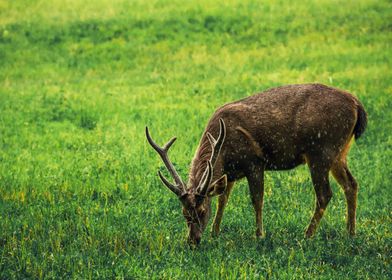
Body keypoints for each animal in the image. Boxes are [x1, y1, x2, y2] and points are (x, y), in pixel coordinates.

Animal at [145, 83, 366, 245]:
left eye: (202, 211)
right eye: (184, 213)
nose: (192, 241)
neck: (223, 151)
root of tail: (357, 105)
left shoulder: (254, 162)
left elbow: (257, 199)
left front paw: (259, 235)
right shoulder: (229, 173)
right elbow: (223, 199)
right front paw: (215, 232)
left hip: (321, 150)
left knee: (324, 194)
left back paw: (307, 235)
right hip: (339, 153)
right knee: (351, 184)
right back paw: (350, 232)